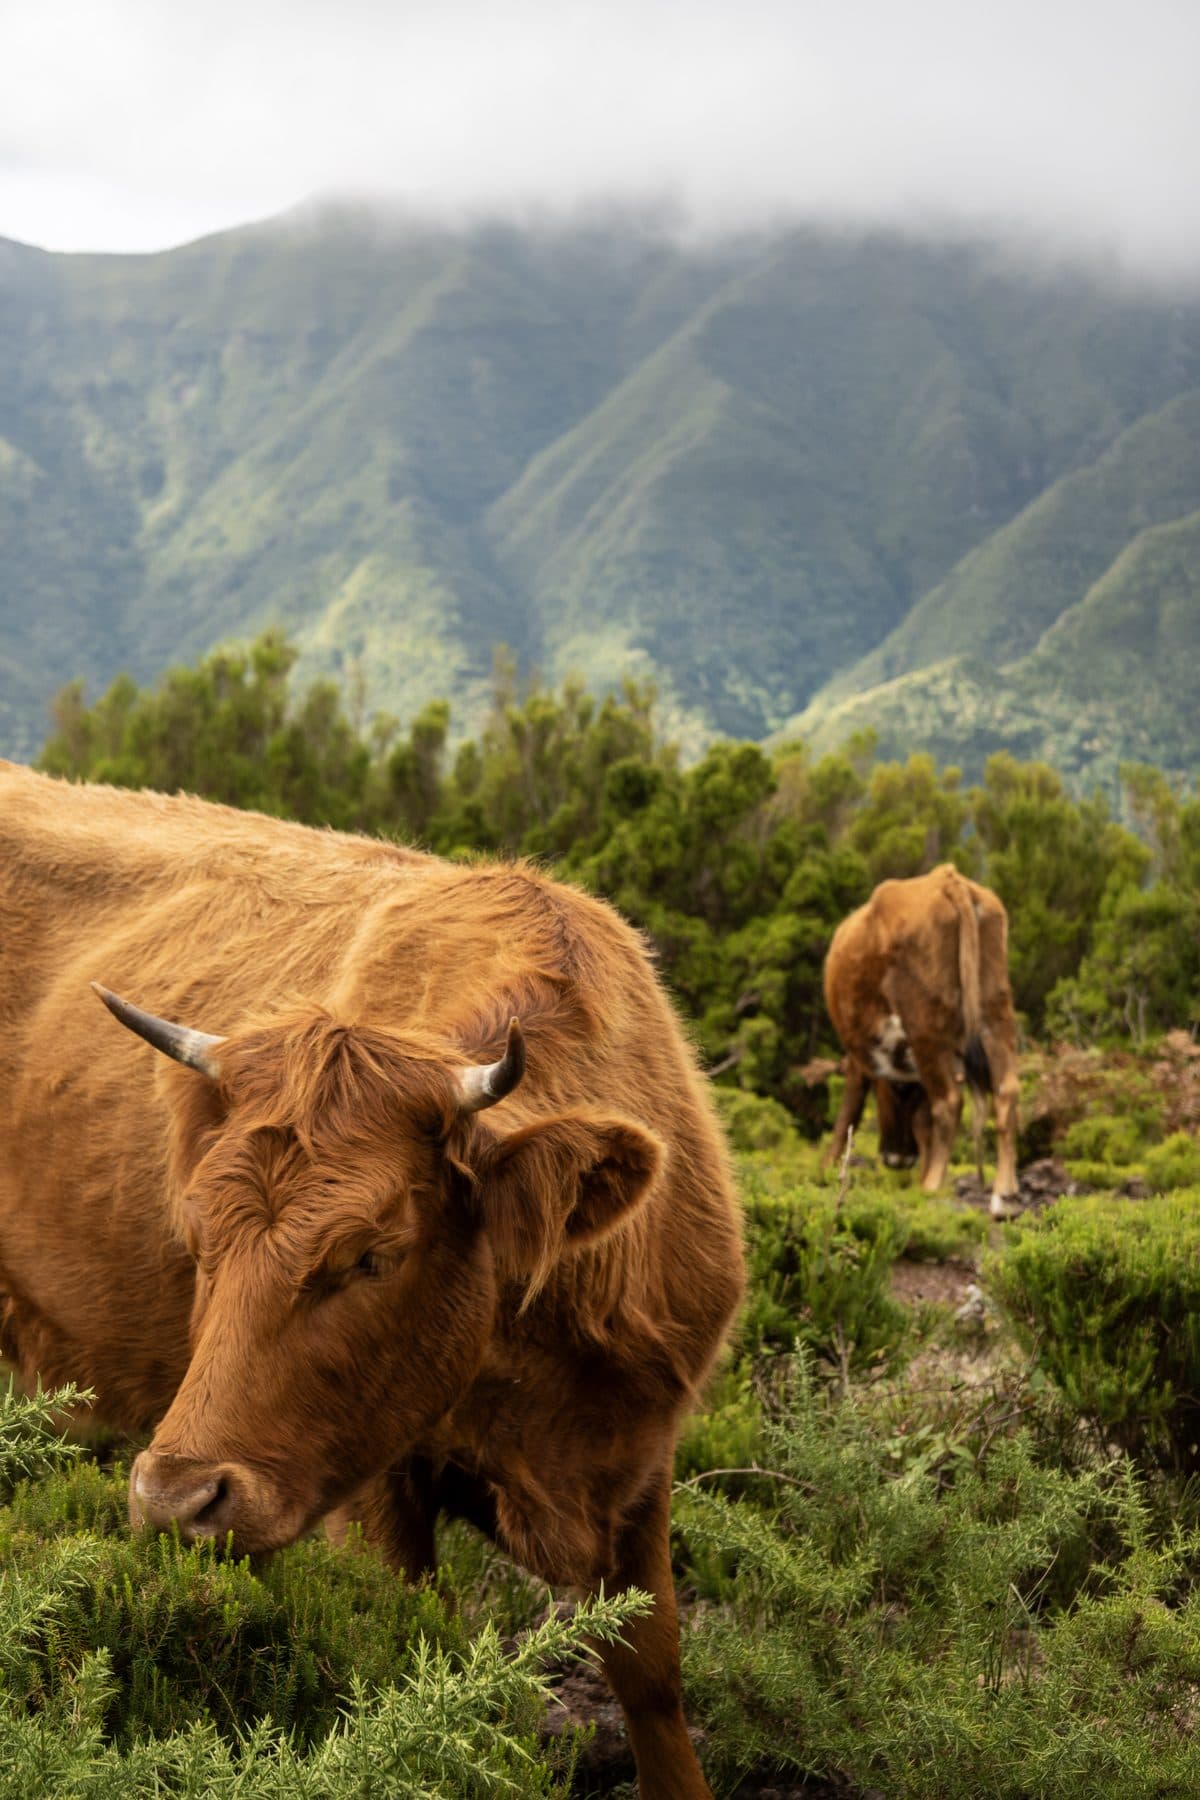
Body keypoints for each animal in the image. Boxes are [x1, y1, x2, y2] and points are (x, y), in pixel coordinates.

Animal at [0, 760, 745, 1800]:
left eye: (370, 1256)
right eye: (198, 1237)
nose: (175, 1500)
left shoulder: (640, 1460)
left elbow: (653, 1671)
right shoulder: (370, 1491)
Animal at [823, 864, 1021, 1220]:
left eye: (895, 1091)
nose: (899, 1158)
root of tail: (948, 879)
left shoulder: (859, 1061)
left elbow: (848, 1116)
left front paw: (827, 1171)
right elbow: (925, 1123)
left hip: (925, 1025)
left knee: (949, 1102)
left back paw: (930, 1188)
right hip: (996, 1016)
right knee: (1006, 1092)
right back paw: (1004, 1196)